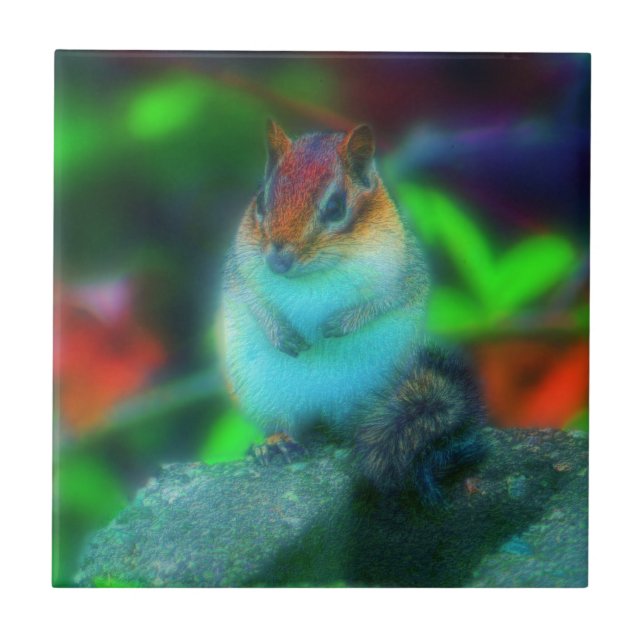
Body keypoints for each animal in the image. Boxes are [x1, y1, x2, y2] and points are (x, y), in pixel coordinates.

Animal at [220, 120, 485, 504]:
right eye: (262, 201)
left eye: (335, 207)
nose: (278, 262)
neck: (316, 273)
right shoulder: (239, 271)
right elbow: (253, 299)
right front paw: (280, 333)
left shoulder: (405, 272)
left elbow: (385, 301)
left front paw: (341, 324)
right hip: (262, 390)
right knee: (282, 421)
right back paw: (276, 444)